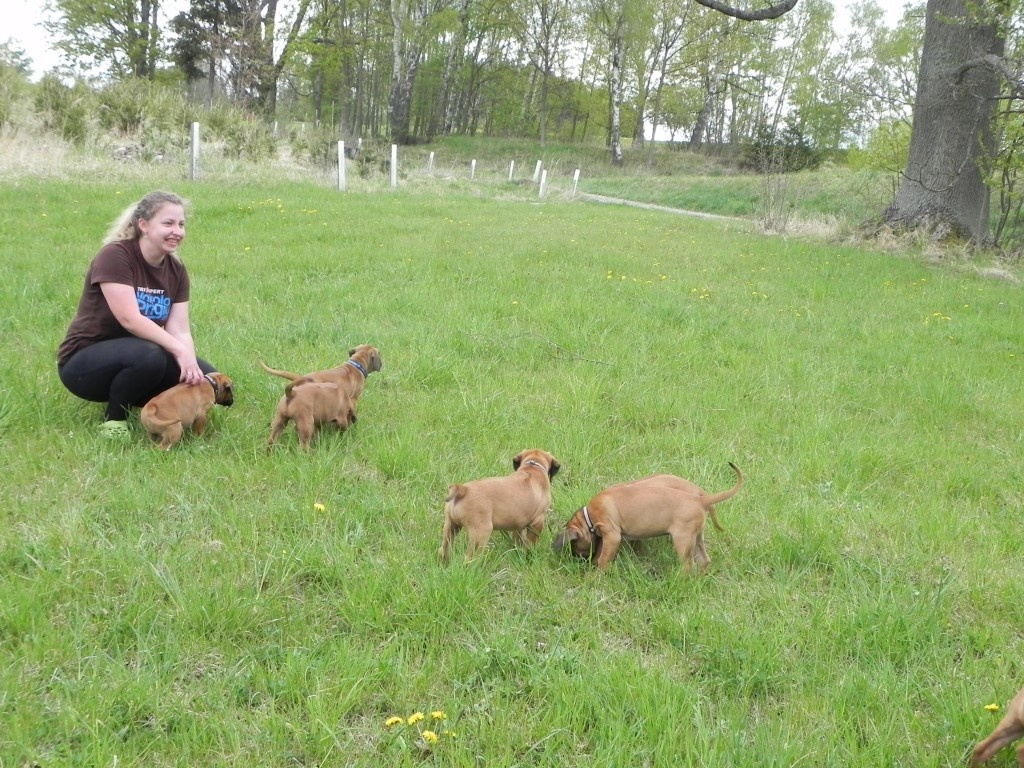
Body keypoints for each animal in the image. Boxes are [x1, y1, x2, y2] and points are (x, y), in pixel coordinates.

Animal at [552, 463, 743, 571]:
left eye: (574, 544)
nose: (578, 560)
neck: (589, 517)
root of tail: (700, 498)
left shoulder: (612, 536)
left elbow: (603, 558)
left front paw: (595, 575)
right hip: (696, 537)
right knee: (704, 560)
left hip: (682, 539)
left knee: (688, 565)